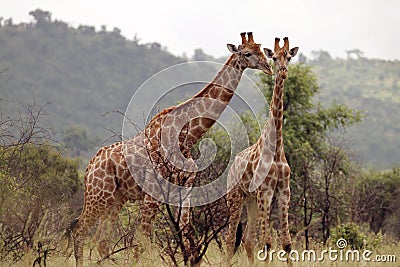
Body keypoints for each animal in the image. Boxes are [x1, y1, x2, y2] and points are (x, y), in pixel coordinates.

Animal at [70, 32, 274, 266]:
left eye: (261, 49)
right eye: (247, 53)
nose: (268, 67)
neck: (187, 137)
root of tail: (88, 169)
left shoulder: (185, 188)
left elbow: (185, 232)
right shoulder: (152, 193)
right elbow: (142, 240)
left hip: (115, 199)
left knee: (100, 240)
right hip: (98, 195)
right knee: (80, 230)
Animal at [225, 36, 296, 264]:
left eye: (289, 57)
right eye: (273, 57)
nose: (282, 71)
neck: (276, 147)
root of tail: (232, 168)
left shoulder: (284, 191)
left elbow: (286, 243)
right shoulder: (266, 191)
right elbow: (266, 242)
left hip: (251, 200)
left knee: (247, 240)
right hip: (236, 197)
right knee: (231, 240)